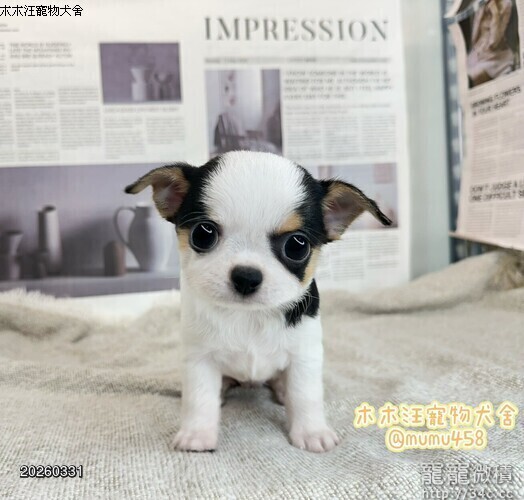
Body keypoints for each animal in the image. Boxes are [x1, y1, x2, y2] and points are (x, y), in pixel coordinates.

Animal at [125, 151, 391, 453]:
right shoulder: (199, 359)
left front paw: (311, 431)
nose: (246, 276)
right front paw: (197, 434)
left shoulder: (304, 356)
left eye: (296, 246)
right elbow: (199, 398)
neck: (250, 315)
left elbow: (306, 395)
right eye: (203, 234)